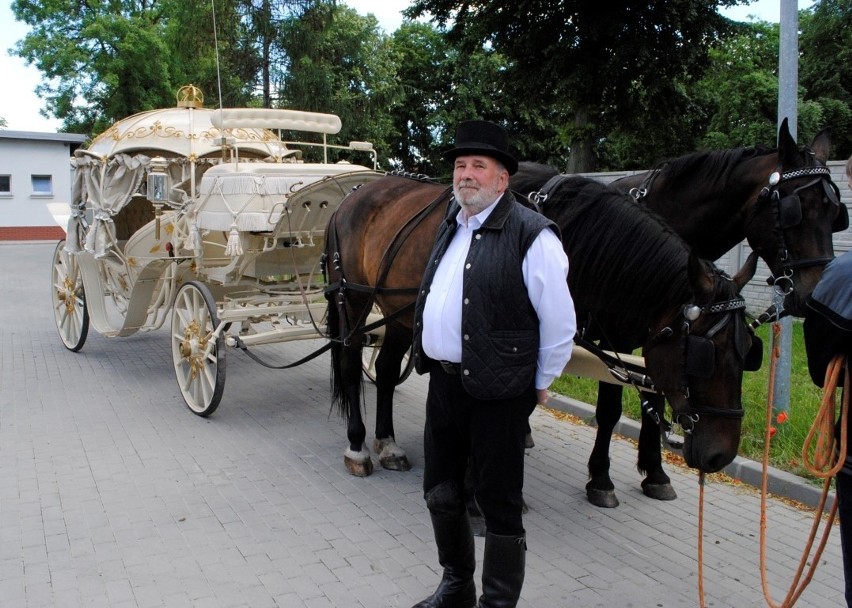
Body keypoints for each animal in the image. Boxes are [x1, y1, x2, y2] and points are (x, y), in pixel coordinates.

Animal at [322, 173, 756, 486]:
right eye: (704, 355)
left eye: (749, 351)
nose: (721, 455)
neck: (570, 240)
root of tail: (352, 195)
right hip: (355, 300)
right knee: (349, 361)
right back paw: (358, 446)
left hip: (398, 314)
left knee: (386, 370)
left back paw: (388, 444)